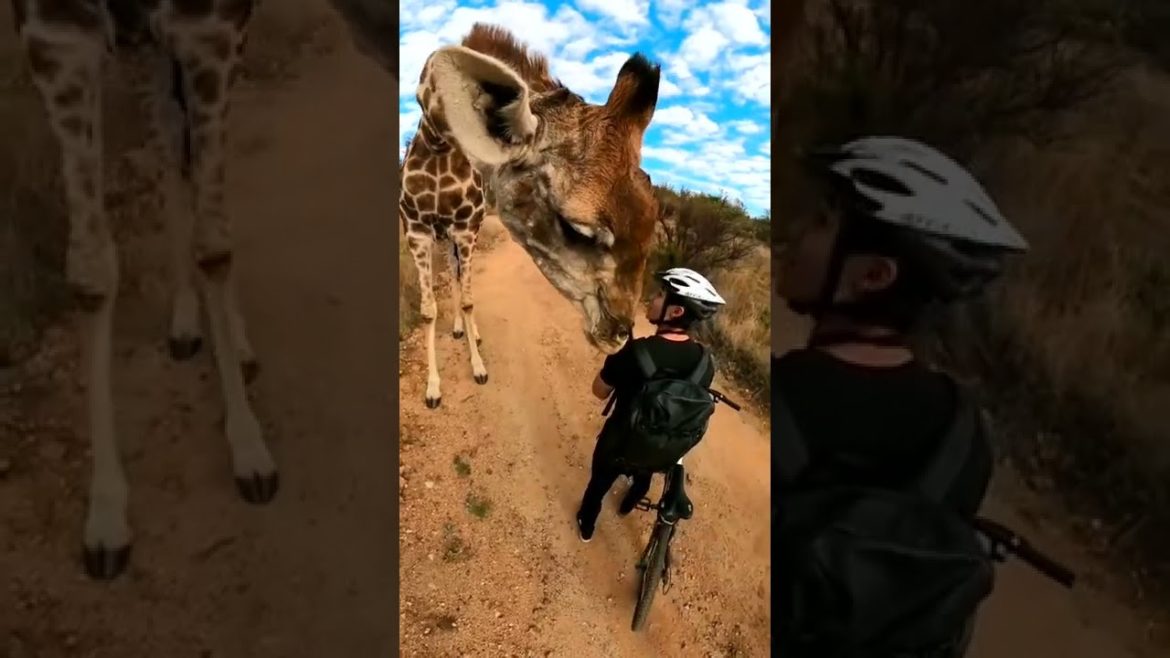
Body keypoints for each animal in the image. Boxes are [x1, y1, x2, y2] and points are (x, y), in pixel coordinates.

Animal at [11, 0, 276, 579]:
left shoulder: (215, 29)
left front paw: (249, 445)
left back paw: (238, 343)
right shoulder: (55, 38)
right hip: (147, 51)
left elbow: (214, 246)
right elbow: (90, 273)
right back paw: (185, 320)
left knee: (194, 166)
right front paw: (106, 512)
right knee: (170, 143)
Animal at [400, 23, 665, 407]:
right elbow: (427, 310)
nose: (617, 334)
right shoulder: (415, 231)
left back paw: (467, 333)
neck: (437, 143)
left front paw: (476, 362)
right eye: (576, 230)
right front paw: (433, 388)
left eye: (652, 219)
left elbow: (466, 299)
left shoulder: (465, 230)